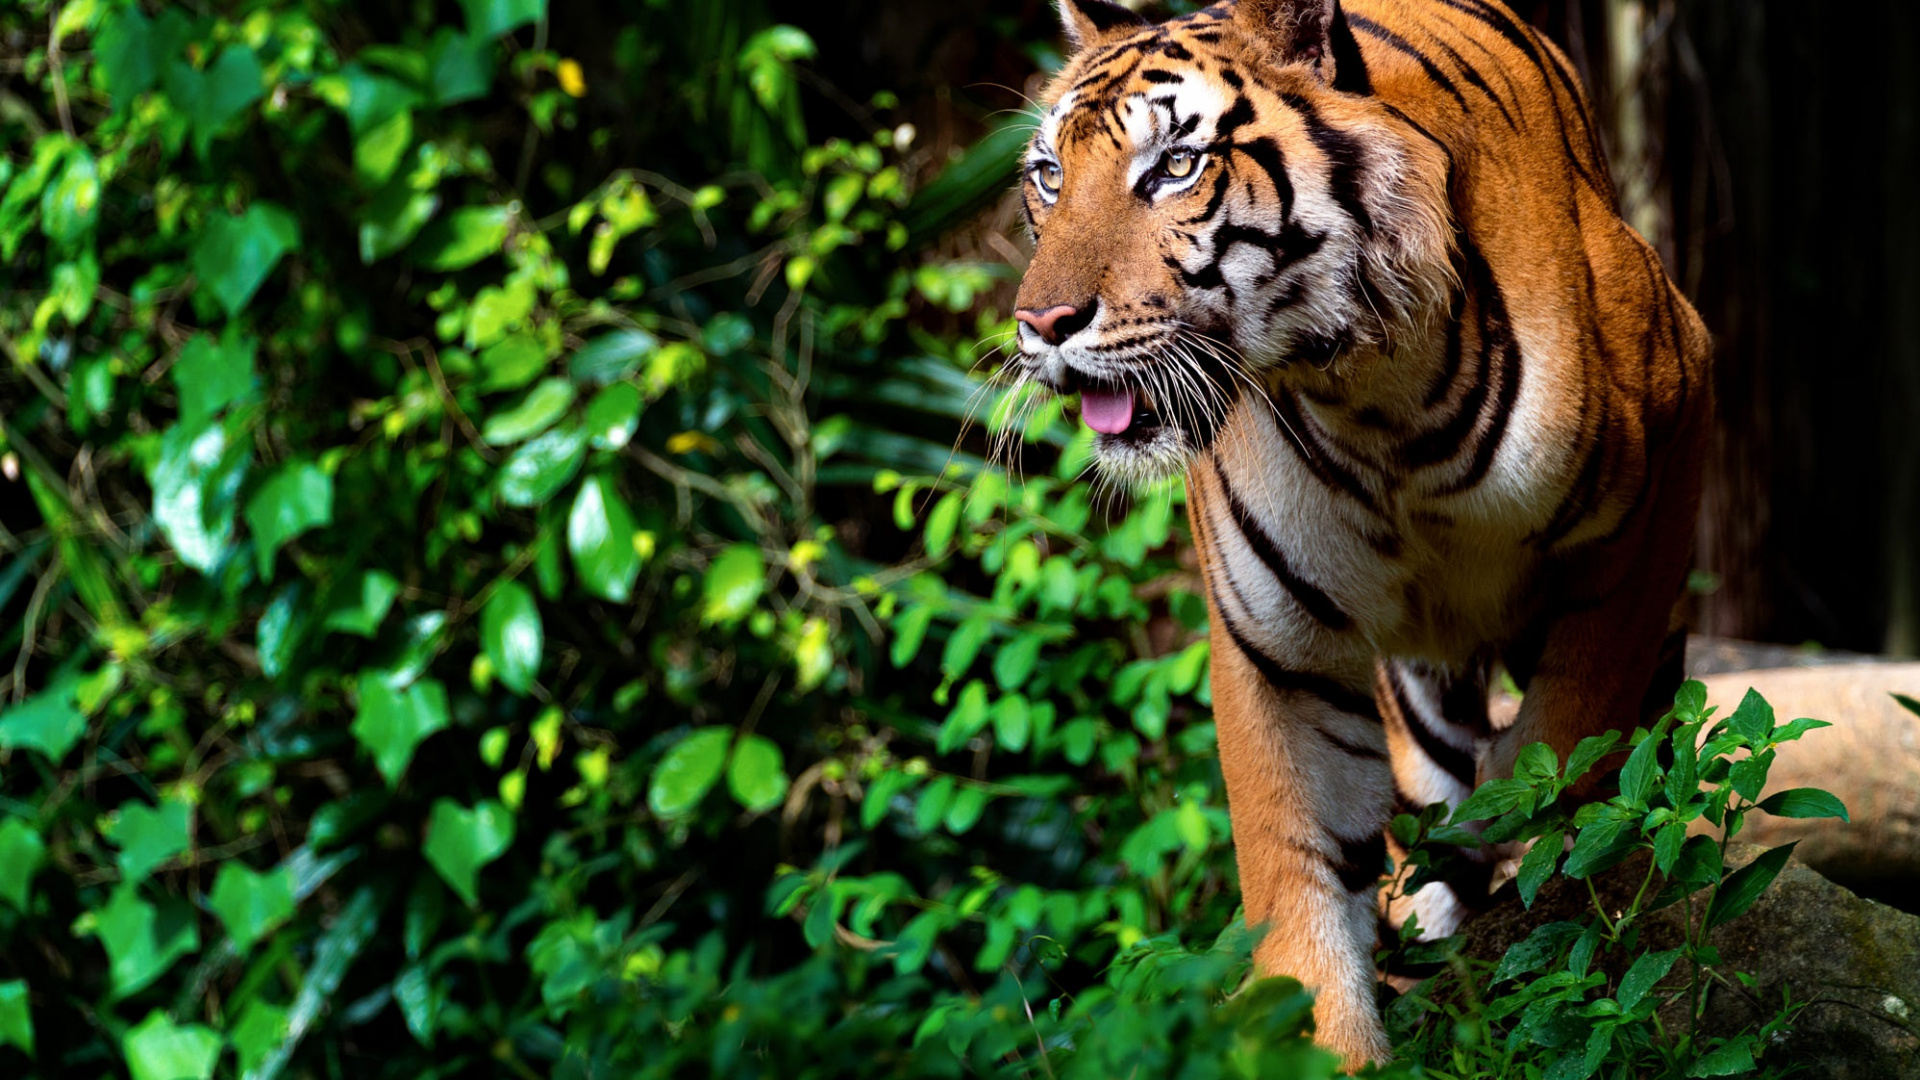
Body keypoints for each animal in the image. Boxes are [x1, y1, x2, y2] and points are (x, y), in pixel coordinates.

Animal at [1007, 0, 1712, 1065]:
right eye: (1050, 176)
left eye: (1175, 166)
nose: (1041, 323)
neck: (1372, 399)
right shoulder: (1277, 648)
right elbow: (1297, 874)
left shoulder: (1661, 477)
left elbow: (1570, 737)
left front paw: (1542, 846)